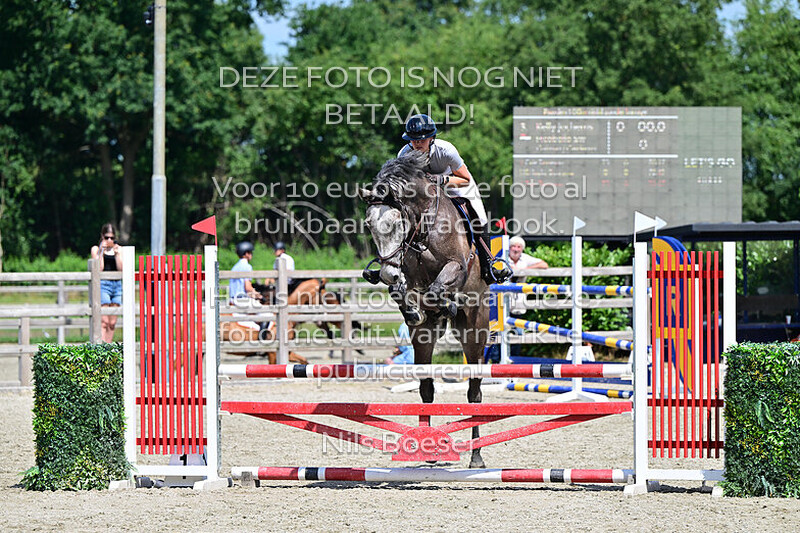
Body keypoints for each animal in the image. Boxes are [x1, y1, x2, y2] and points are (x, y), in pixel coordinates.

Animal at [361, 152, 491, 468]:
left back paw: (476, 457)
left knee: (474, 391)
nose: (387, 274)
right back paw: (429, 449)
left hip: (474, 333)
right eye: (369, 226)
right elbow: (405, 292)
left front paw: (447, 302)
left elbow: (438, 285)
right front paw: (411, 310)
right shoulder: (407, 276)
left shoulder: (457, 266)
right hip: (423, 340)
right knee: (427, 388)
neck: (422, 230)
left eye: (396, 223)